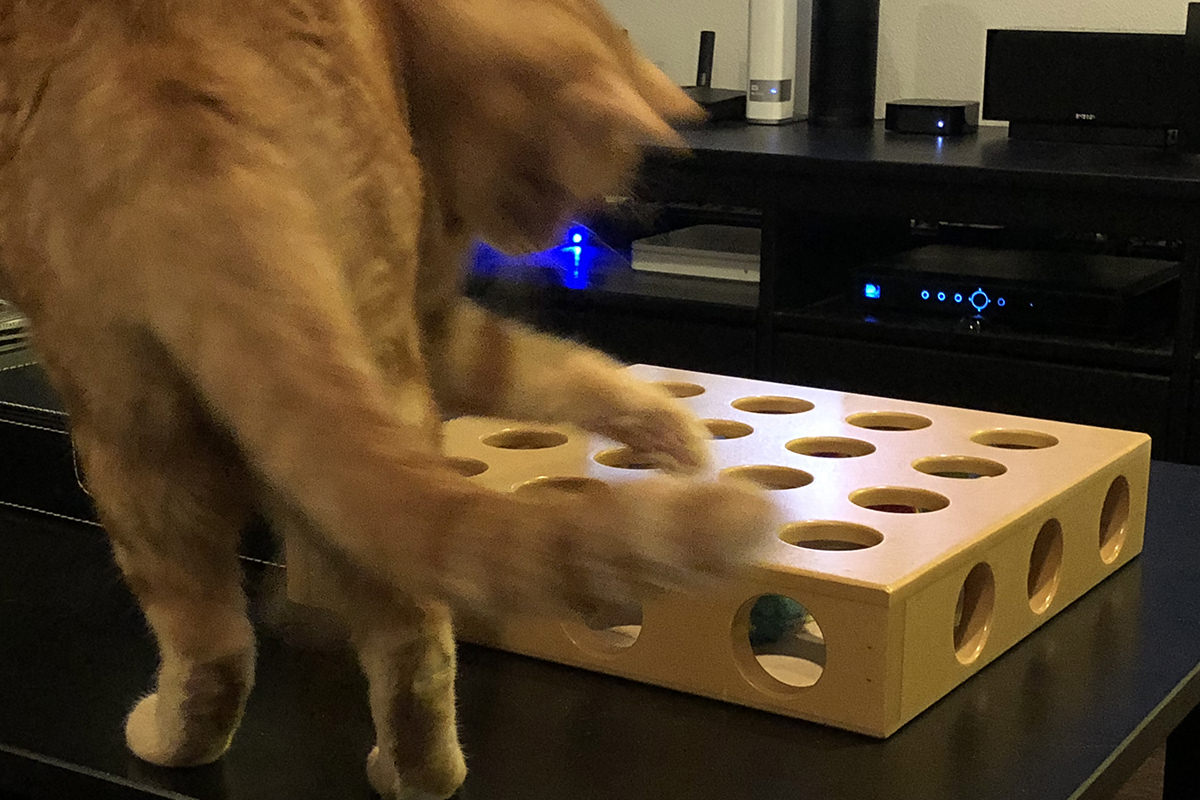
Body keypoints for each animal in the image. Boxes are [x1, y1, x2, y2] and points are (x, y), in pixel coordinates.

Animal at [0, 1, 772, 800]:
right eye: (554, 181)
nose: (557, 237)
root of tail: (175, 101)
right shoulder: (431, 321)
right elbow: (558, 367)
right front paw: (669, 427)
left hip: (123, 425)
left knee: (223, 640)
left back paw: (178, 743)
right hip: (350, 362)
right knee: (403, 625)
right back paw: (418, 771)